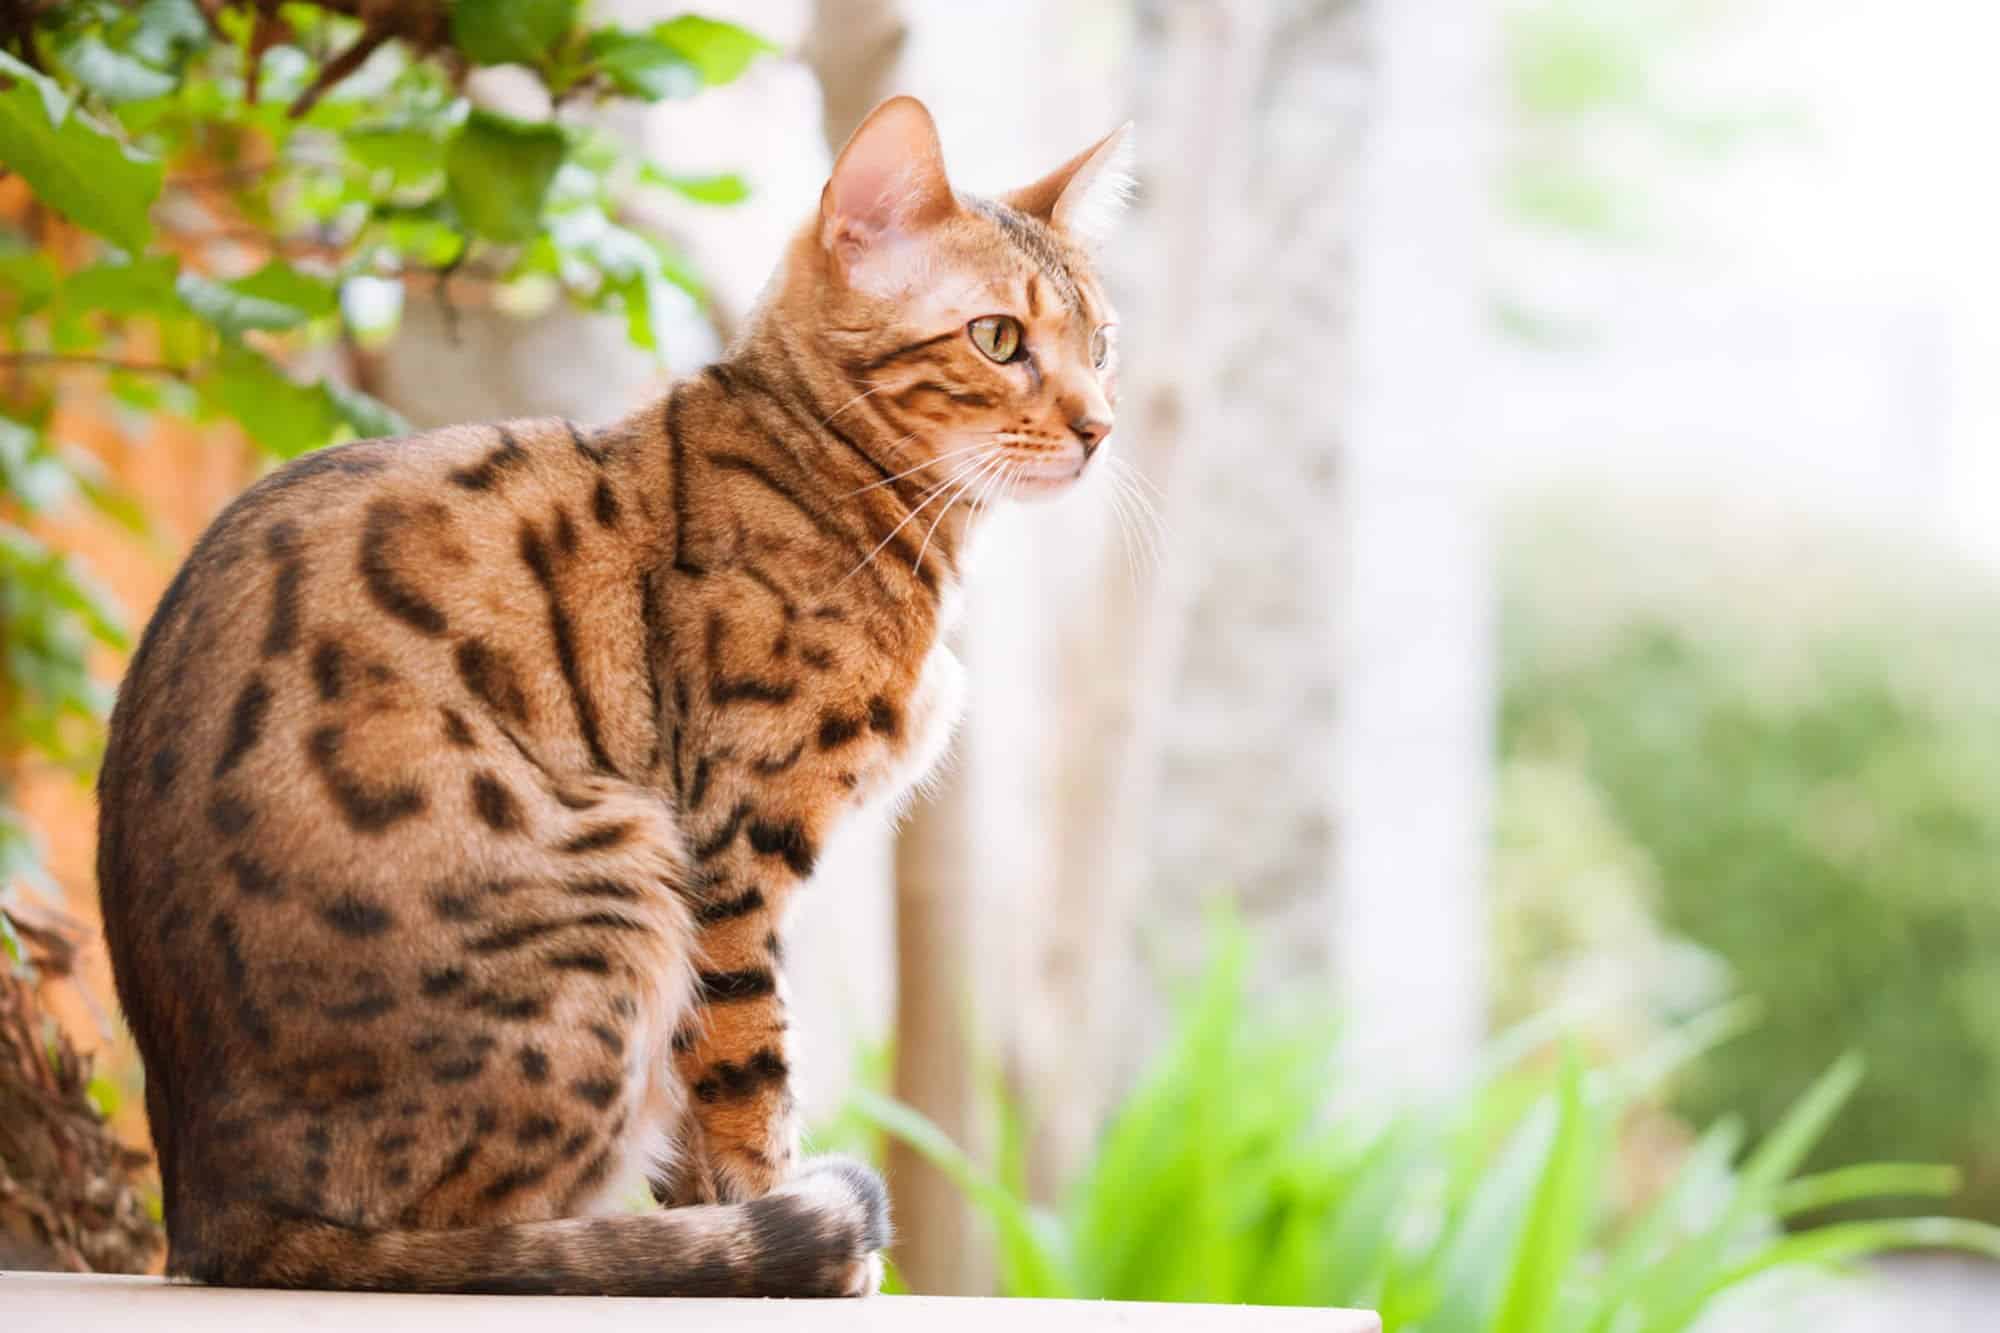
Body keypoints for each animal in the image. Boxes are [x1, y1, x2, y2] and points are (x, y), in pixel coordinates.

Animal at [97, 96, 1128, 1288]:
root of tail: (206, 1207)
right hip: (622, 882)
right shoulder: (733, 845)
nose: (1100, 426)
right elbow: (746, 1071)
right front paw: (779, 1234)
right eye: (998, 339)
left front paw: (732, 1228)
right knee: (474, 1235)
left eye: (1102, 346)